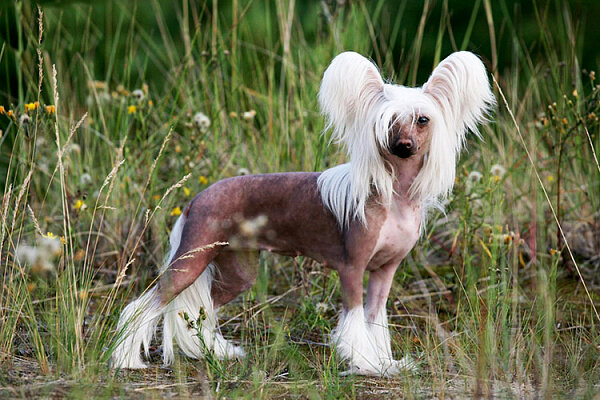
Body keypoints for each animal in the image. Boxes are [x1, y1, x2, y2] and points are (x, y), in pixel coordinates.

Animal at [111, 51, 494, 376]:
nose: (403, 147)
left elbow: (375, 320)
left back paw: (217, 353)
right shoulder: (352, 268)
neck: (395, 196)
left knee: (204, 309)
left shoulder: (385, 271)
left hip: (238, 270)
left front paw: (385, 363)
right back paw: (127, 359)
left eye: (422, 120)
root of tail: (198, 197)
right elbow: (355, 320)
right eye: (387, 123)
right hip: (192, 258)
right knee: (144, 306)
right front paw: (365, 364)